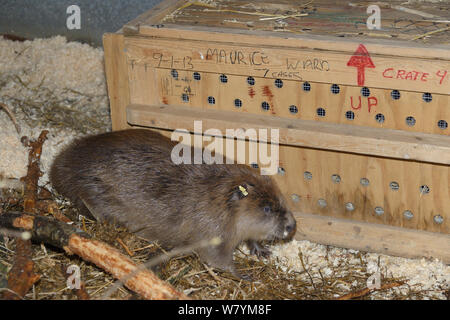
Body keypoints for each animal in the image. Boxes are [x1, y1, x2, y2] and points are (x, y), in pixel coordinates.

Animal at [50, 129, 296, 278]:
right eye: (267, 208)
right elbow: (216, 258)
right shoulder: (212, 230)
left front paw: (262, 250)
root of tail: (58, 165)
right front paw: (244, 275)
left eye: (280, 200)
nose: (291, 226)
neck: (218, 196)